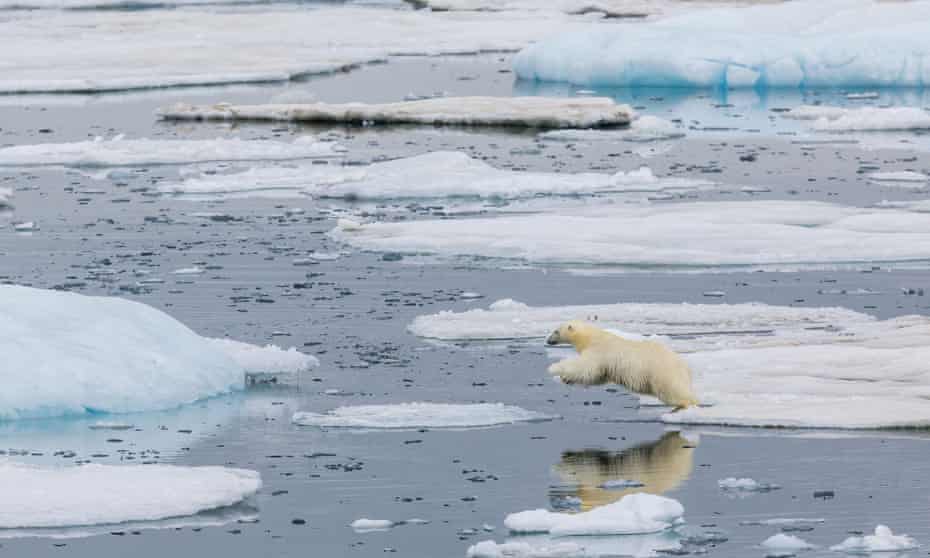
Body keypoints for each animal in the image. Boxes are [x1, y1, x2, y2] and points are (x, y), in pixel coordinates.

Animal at [546, 320, 699, 411]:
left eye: (556, 331)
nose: (548, 341)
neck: (591, 338)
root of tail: (684, 367)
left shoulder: (599, 352)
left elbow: (586, 367)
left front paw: (554, 368)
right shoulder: (605, 364)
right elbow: (597, 376)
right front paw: (566, 378)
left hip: (662, 373)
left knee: (673, 392)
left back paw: (684, 405)